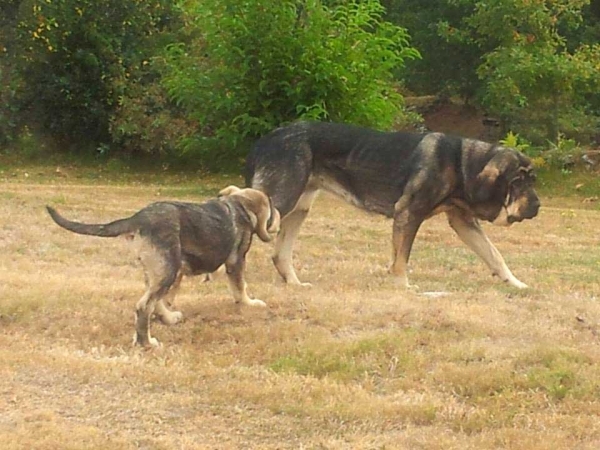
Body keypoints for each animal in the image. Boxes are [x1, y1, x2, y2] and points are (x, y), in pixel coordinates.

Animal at [47, 186, 282, 348]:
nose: (279, 215)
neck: (239, 204)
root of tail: (138, 219)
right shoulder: (236, 260)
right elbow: (240, 286)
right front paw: (250, 303)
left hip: (160, 269)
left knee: (155, 301)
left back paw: (168, 318)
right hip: (168, 268)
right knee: (144, 306)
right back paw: (146, 343)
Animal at [246, 120, 540, 288]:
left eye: (532, 180)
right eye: (518, 182)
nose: (538, 206)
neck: (461, 163)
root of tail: (266, 139)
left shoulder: (463, 221)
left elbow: (494, 255)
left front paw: (516, 283)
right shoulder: (408, 213)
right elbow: (401, 259)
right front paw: (403, 287)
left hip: (300, 208)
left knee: (280, 254)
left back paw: (294, 284)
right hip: (281, 201)